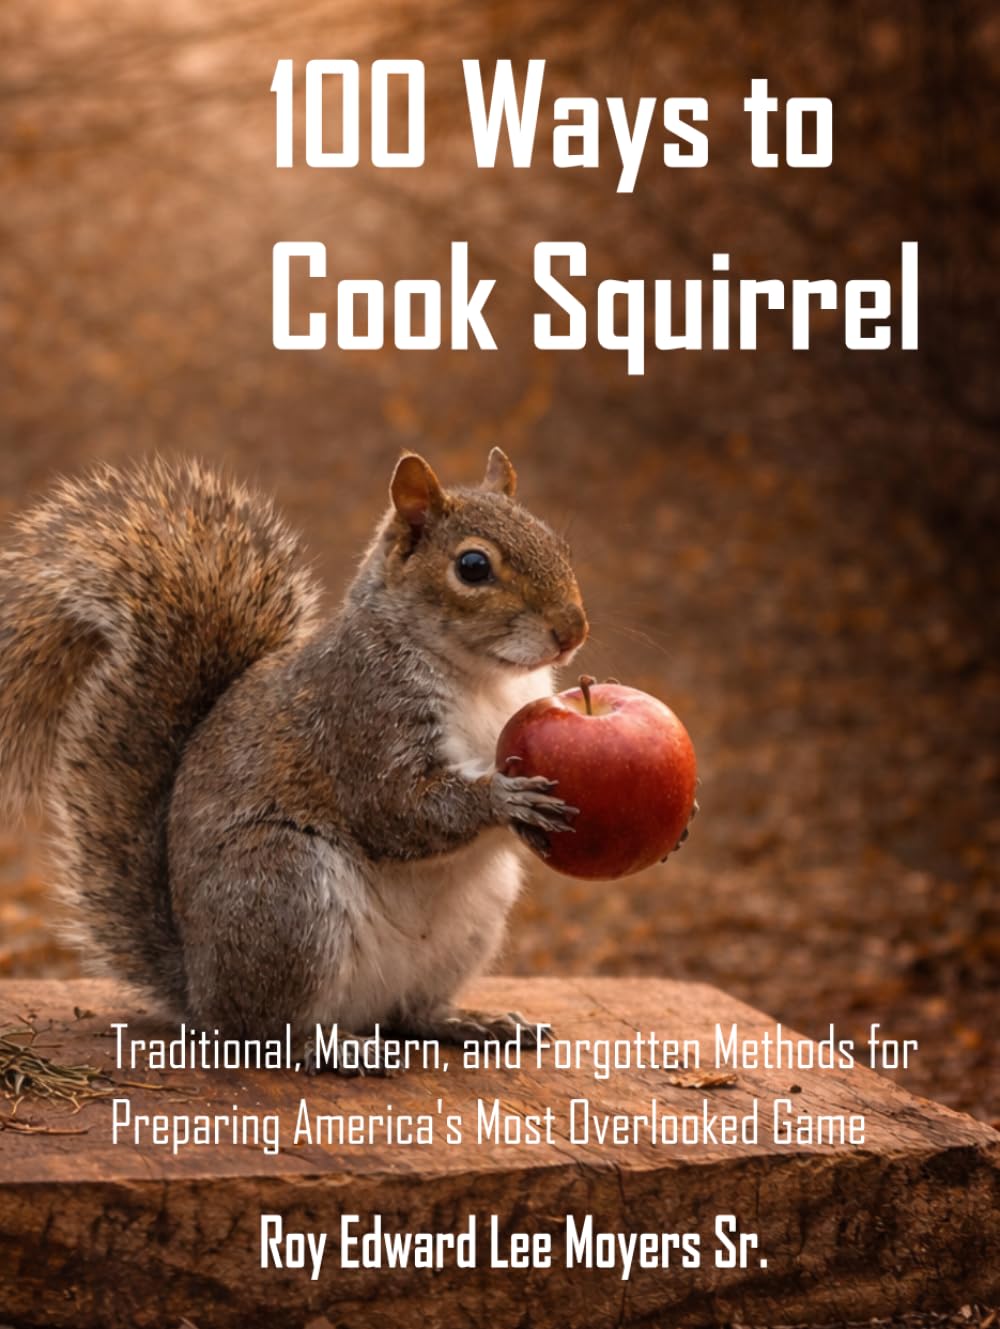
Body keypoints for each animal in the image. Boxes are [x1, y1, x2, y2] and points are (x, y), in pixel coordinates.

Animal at [0, 449, 589, 1069]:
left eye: (559, 544)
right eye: (473, 566)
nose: (573, 629)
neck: (482, 677)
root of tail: (198, 990)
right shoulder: (360, 714)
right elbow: (396, 809)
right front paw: (504, 796)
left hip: (467, 925)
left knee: (409, 1015)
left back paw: (469, 1021)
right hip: (286, 891)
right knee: (263, 1030)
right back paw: (331, 1049)